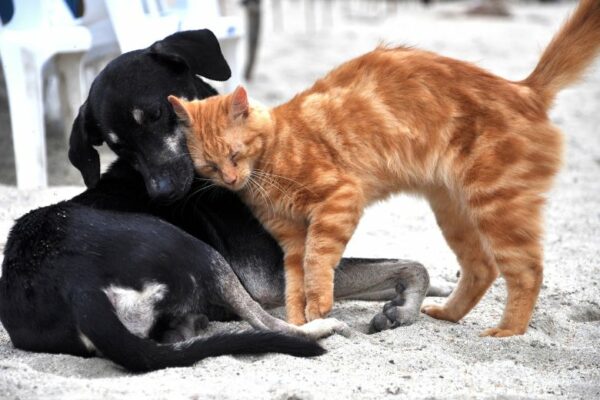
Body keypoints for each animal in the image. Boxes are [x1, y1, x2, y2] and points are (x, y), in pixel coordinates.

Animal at [2, 30, 438, 372]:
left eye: (157, 114)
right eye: (117, 146)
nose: (161, 193)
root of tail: (75, 288)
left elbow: (407, 268)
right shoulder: (270, 275)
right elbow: (412, 266)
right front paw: (405, 308)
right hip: (198, 250)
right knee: (273, 325)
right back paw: (322, 329)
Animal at [168, 0, 600, 338]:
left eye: (235, 154)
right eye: (209, 165)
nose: (229, 179)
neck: (272, 159)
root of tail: (524, 88)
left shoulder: (338, 200)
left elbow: (317, 263)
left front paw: (318, 307)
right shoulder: (289, 242)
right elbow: (295, 284)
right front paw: (303, 321)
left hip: (497, 206)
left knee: (527, 270)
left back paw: (508, 331)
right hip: (455, 212)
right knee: (482, 268)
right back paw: (447, 314)